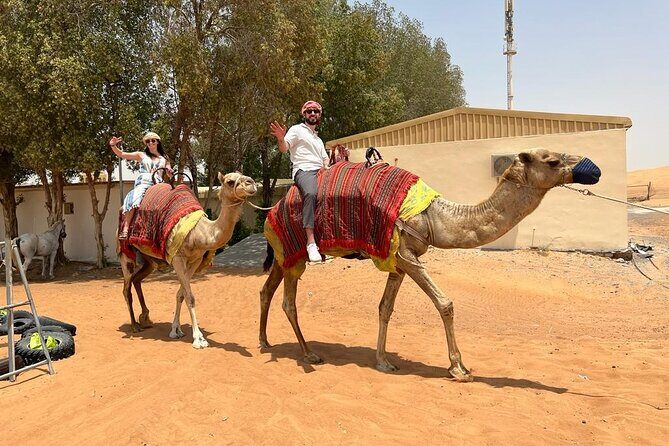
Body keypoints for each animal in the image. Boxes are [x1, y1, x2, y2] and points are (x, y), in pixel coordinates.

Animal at [119, 172, 257, 348]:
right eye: (230, 181)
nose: (251, 183)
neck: (199, 233)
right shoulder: (177, 258)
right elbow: (190, 296)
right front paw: (198, 338)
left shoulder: (195, 260)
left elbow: (181, 294)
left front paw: (175, 330)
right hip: (125, 253)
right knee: (126, 288)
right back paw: (134, 326)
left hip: (149, 259)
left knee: (137, 280)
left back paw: (146, 319)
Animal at [259, 148, 601, 381]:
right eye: (552, 160)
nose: (593, 168)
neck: (433, 216)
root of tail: (271, 210)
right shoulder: (406, 255)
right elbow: (445, 304)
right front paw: (459, 368)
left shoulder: (398, 261)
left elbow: (385, 308)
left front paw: (383, 361)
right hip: (294, 255)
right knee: (288, 301)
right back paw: (308, 353)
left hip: (283, 256)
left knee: (266, 291)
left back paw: (264, 342)